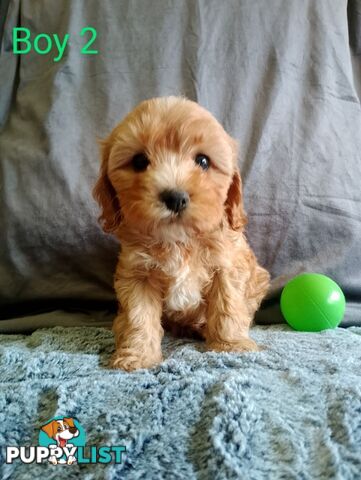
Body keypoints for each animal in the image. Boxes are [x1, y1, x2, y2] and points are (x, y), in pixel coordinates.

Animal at [94, 94, 268, 372]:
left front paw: (231, 346)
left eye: (203, 161)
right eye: (139, 161)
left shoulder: (227, 265)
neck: (179, 240)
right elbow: (138, 317)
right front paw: (138, 356)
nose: (175, 197)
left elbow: (228, 306)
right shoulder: (137, 274)